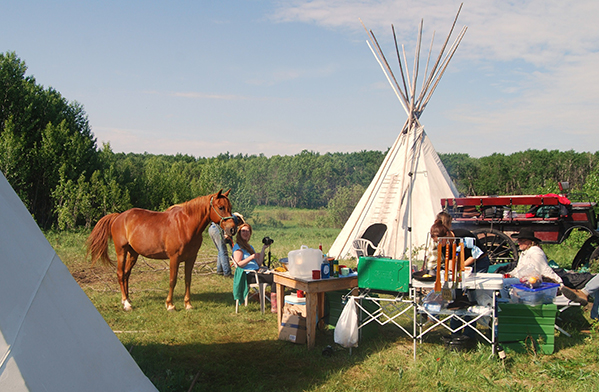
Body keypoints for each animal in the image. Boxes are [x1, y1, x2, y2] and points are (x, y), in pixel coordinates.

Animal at [86, 188, 239, 310]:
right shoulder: (174, 258)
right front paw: (170, 304)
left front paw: (188, 304)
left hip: (133, 254)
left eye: (230, 207)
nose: (232, 229)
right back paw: (126, 304)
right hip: (121, 252)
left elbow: (188, 279)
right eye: (221, 207)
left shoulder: (191, 258)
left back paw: (128, 300)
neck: (185, 225)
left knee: (126, 274)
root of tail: (118, 217)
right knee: (119, 274)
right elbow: (173, 280)